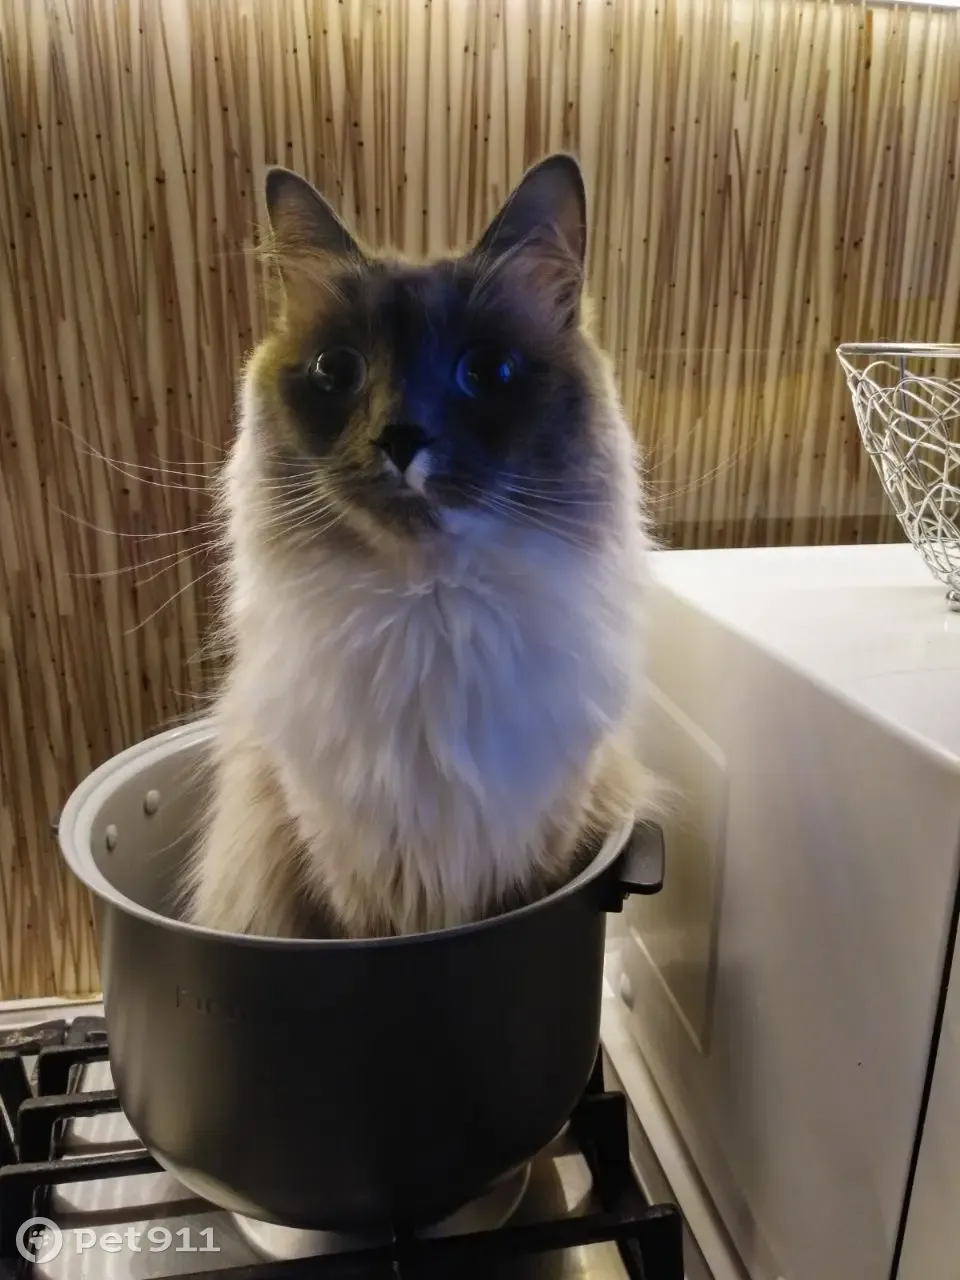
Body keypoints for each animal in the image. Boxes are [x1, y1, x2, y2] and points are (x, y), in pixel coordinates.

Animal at [180, 152, 658, 939]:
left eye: (487, 372)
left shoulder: (538, 852)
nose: (400, 439)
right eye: (336, 371)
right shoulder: (349, 885)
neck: (429, 608)